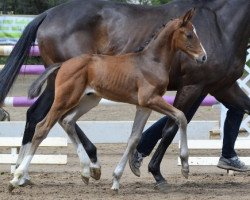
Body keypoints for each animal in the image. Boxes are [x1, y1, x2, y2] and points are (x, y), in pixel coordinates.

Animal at [0, 0, 249, 189]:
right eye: (189, 35)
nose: (203, 57)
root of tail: (48, 14)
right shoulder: (190, 87)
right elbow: (176, 121)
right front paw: (168, 170)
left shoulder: (217, 87)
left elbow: (136, 136)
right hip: (64, 93)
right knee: (42, 121)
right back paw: (22, 175)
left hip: (89, 97)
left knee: (62, 119)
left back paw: (73, 170)